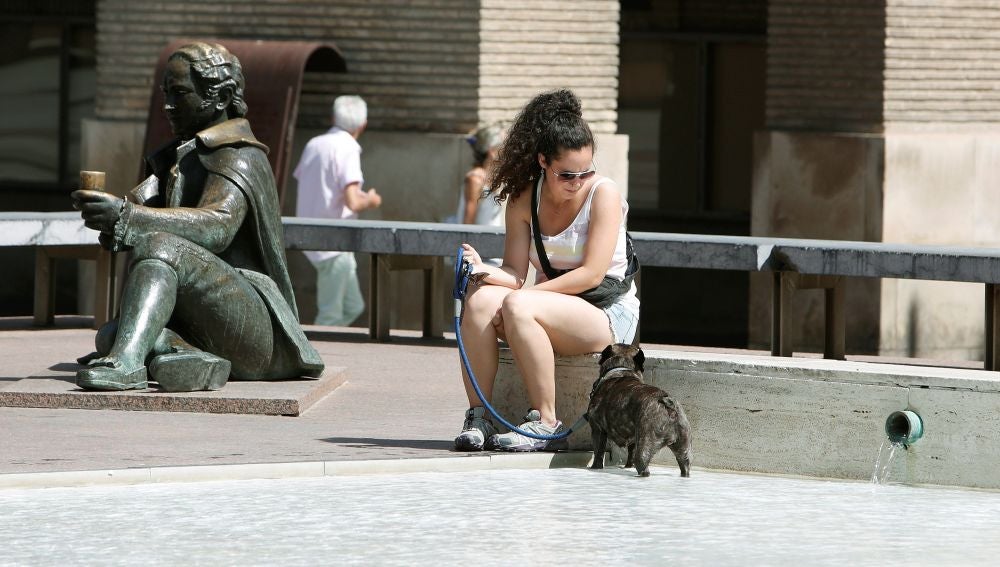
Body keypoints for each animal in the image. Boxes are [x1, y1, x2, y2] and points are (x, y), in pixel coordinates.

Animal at [588, 344, 692, 478]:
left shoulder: (597, 429)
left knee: (642, 464)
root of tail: (669, 405)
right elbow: (630, 452)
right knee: (684, 464)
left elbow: (598, 452)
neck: (622, 370)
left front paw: (595, 467)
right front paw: (628, 466)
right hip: (683, 447)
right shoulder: (633, 437)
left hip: (645, 444)